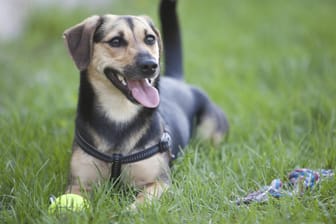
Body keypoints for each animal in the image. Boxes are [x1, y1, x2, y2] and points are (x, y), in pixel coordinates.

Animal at [62, 0, 228, 207]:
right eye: (116, 41)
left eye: (150, 39)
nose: (150, 65)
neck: (119, 114)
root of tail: (177, 79)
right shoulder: (78, 183)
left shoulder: (158, 182)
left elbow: (140, 204)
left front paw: (126, 211)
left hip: (210, 131)